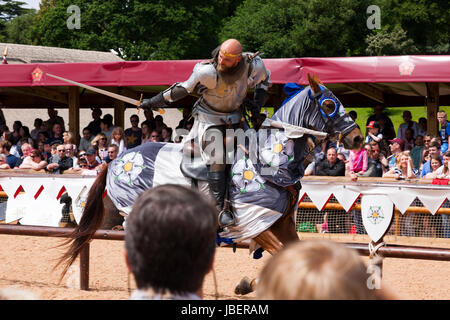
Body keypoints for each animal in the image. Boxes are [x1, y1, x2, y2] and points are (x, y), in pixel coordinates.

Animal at [57, 74, 366, 294]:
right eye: (329, 105)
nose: (357, 139)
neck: (269, 161)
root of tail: (115, 159)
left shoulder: (282, 225)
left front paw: (250, 283)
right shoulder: (258, 224)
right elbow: (278, 253)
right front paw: (251, 283)